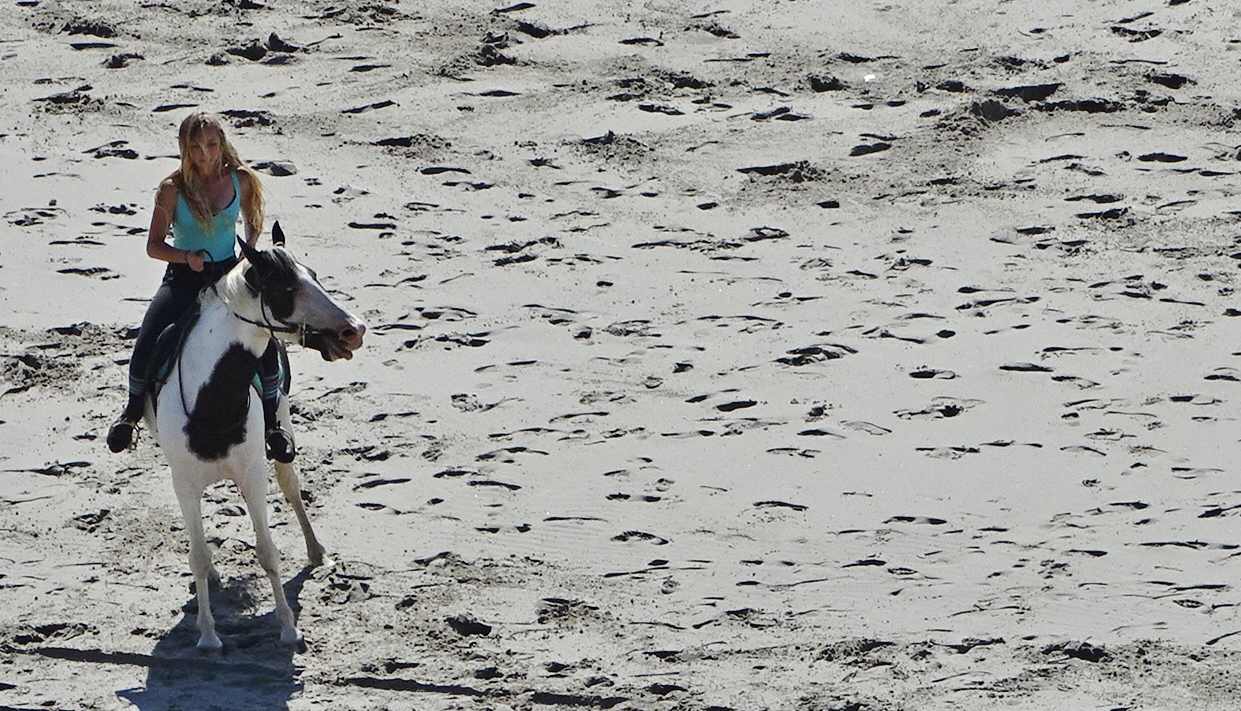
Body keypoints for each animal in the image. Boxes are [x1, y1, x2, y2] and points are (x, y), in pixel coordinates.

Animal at [145, 223, 364, 650]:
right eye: (286, 286)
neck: (211, 402)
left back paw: (316, 551)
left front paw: (288, 629)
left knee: (292, 487)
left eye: (313, 276)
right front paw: (208, 636)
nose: (354, 330)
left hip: (282, 433)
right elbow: (198, 556)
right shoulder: (184, 484)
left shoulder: (253, 476)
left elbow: (267, 551)